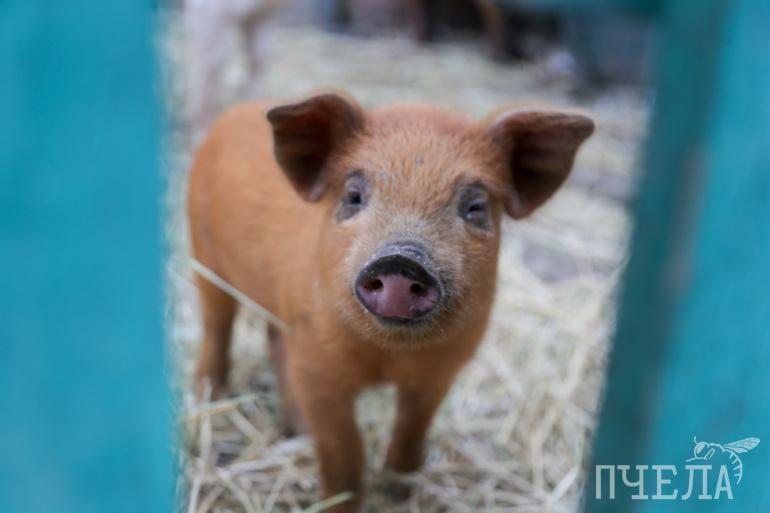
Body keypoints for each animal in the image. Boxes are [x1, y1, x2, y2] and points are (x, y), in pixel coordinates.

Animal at [187, 92, 593, 512]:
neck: (389, 357)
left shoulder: (441, 371)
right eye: (353, 196)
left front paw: (400, 493)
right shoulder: (317, 365)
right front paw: (340, 503)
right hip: (204, 254)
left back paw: (294, 428)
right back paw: (208, 395)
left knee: (273, 338)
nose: (401, 259)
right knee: (217, 324)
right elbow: (344, 451)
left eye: (475, 206)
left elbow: (413, 433)